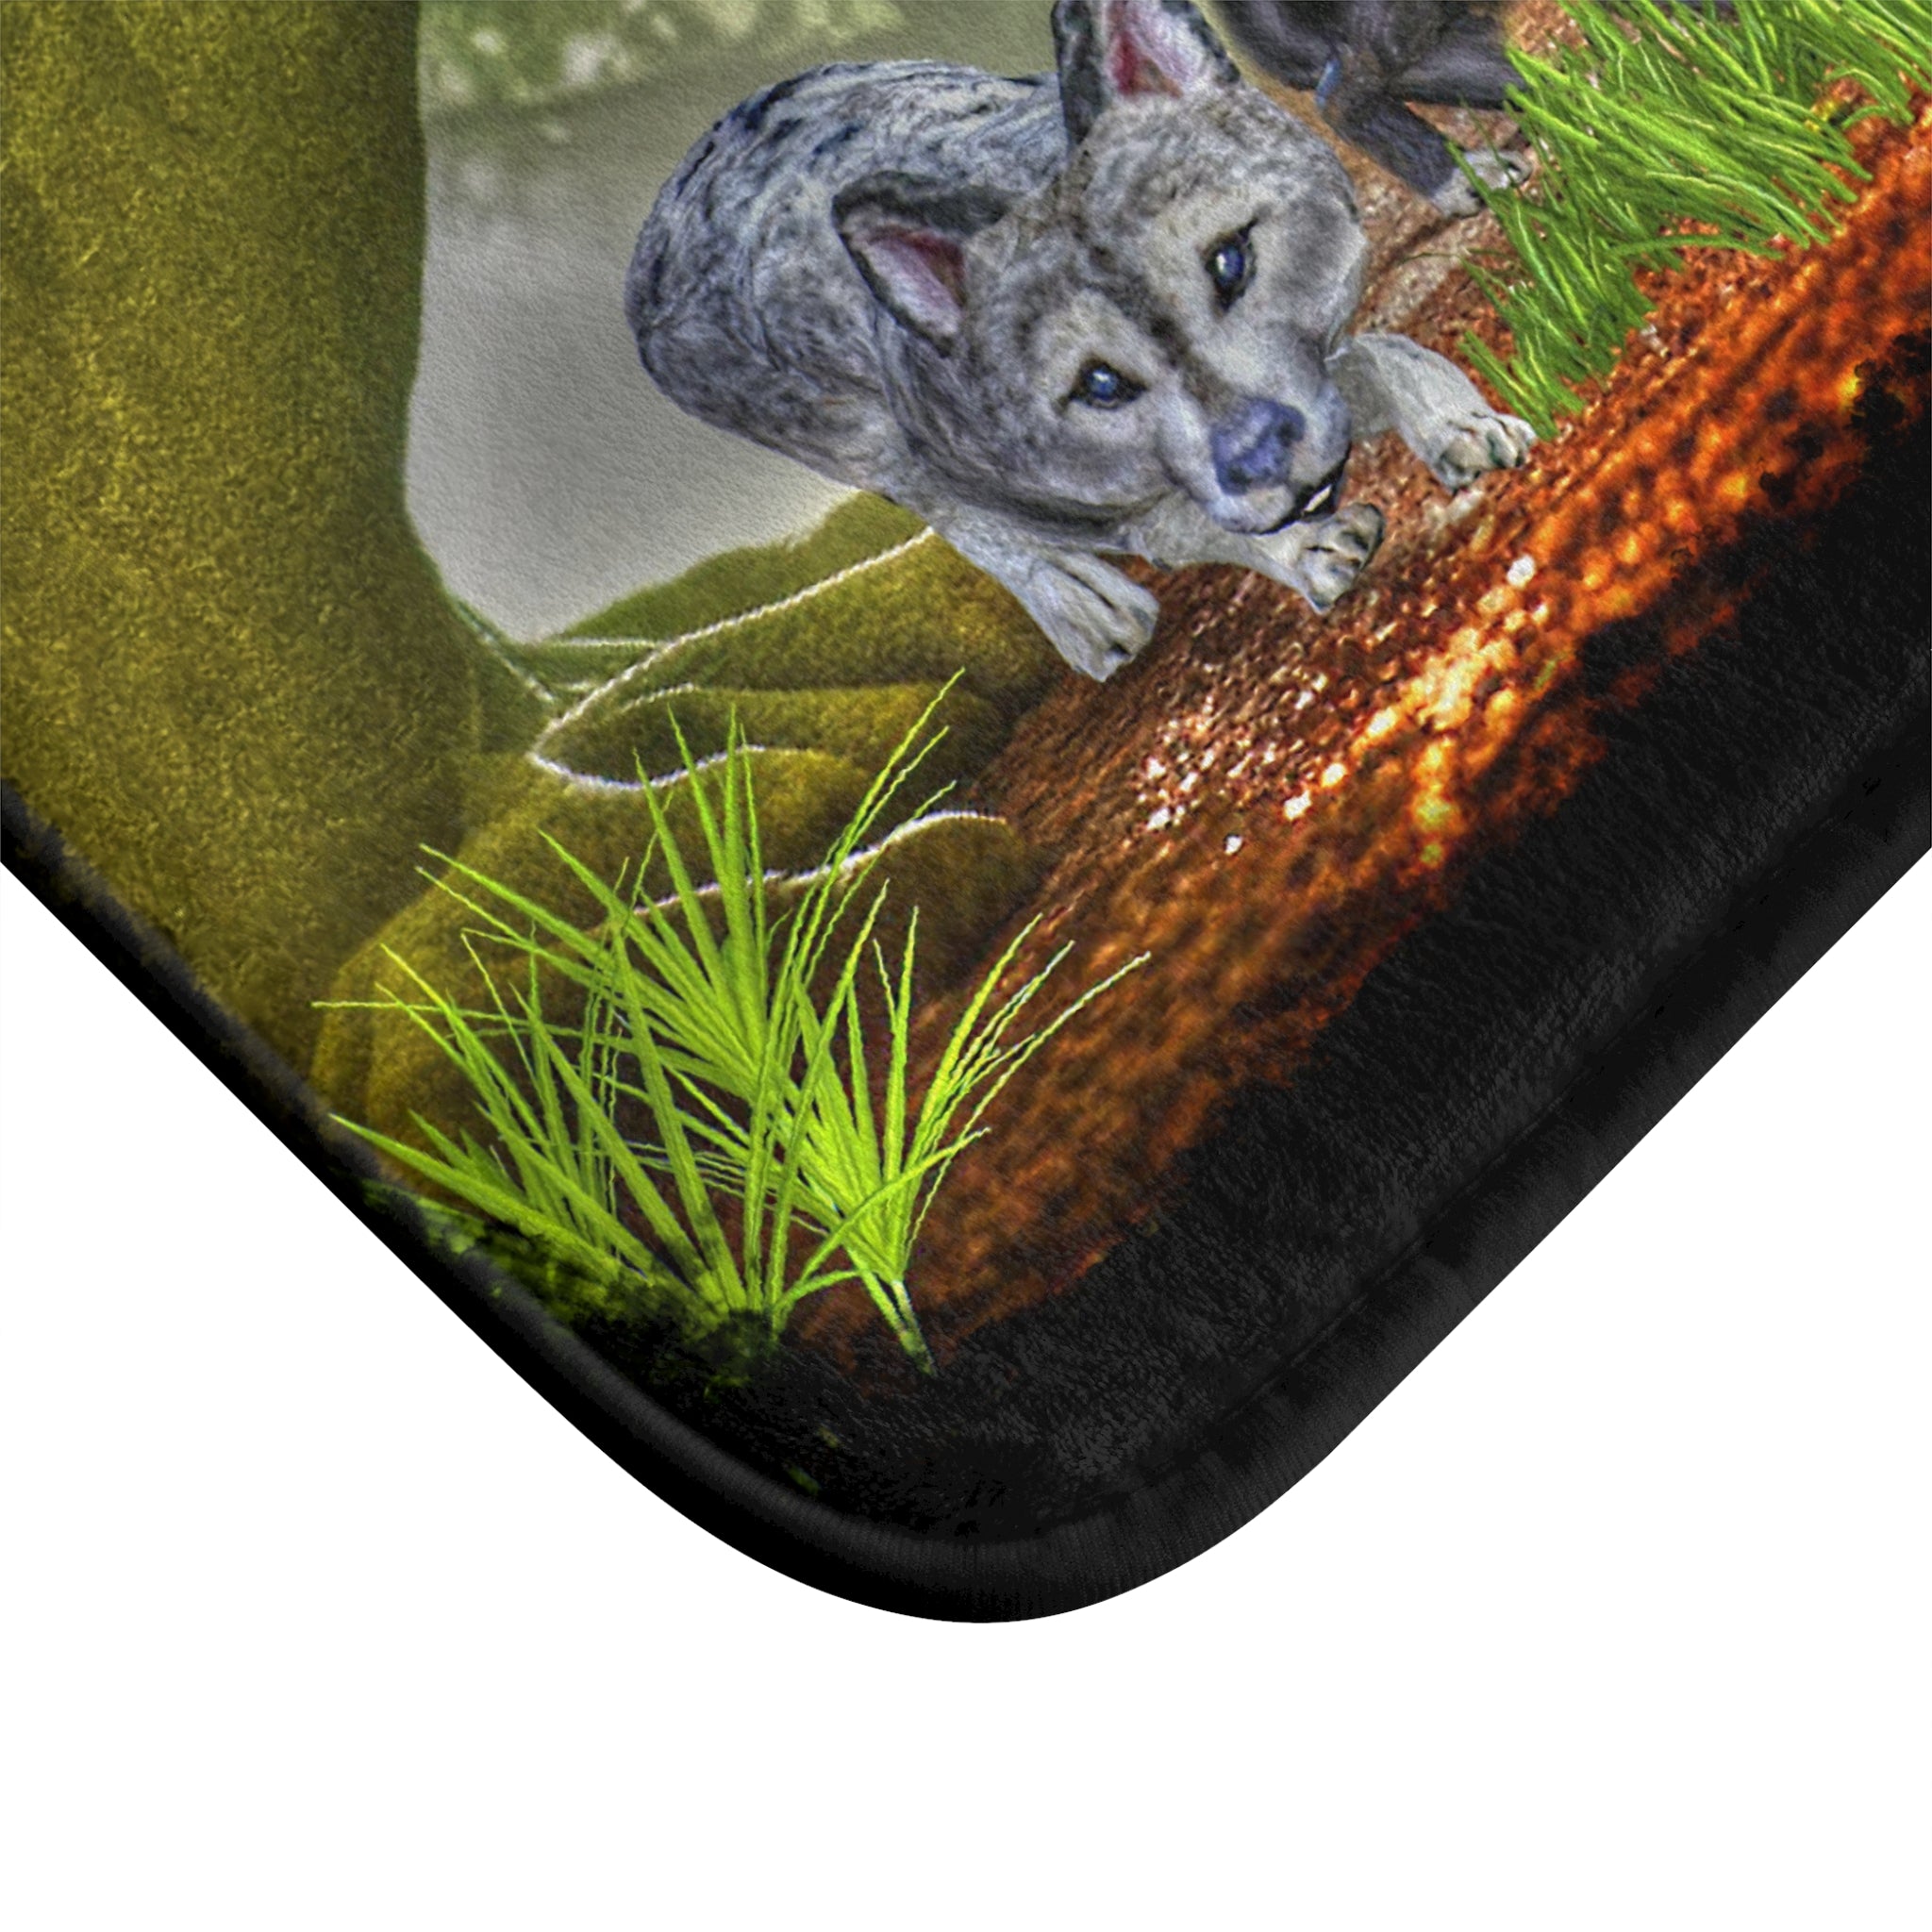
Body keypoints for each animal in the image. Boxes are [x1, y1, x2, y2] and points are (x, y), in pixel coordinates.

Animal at [627, 0, 1536, 681]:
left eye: (1231, 261)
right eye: (1099, 384)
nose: (1262, 461)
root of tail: (655, 228)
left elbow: (1378, 357)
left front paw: (1467, 430)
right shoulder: (1076, 494)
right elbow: (1178, 527)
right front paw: (1312, 550)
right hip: (856, 443)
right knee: (960, 522)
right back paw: (1094, 614)